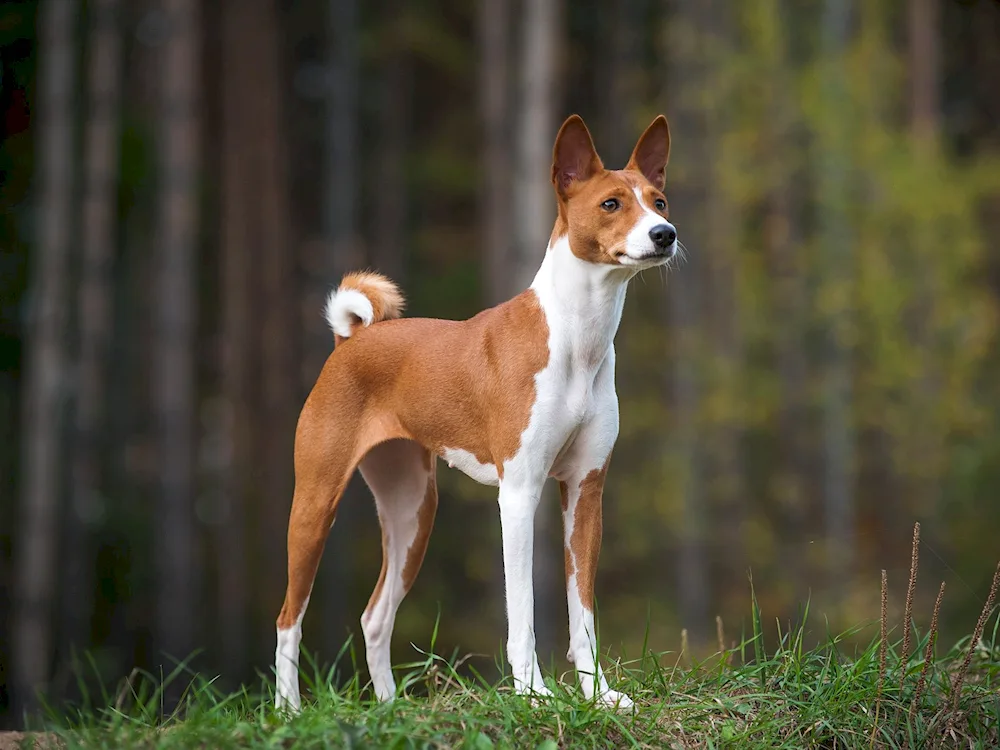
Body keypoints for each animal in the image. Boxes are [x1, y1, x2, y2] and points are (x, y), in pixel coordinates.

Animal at [276, 111, 680, 712]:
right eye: (611, 203)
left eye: (659, 201)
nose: (665, 234)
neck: (577, 340)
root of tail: (352, 339)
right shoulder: (518, 494)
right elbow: (523, 615)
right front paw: (533, 694)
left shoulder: (586, 491)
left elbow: (582, 613)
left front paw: (599, 696)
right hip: (315, 504)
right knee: (288, 618)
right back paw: (287, 711)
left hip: (412, 513)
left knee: (375, 617)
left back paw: (392, 708)